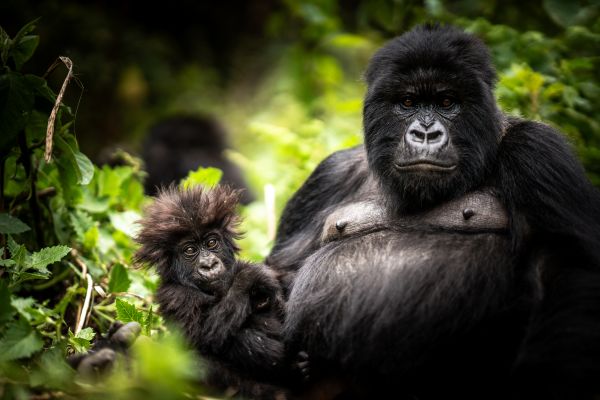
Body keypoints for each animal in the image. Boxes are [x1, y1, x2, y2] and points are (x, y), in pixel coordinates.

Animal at [134, 186, 298, 398]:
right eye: (189, 250)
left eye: (211, 243)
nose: (209, 264)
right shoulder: (175, 295)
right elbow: (209, 334)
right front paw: (251, 274)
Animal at [268, 24, 600, 396]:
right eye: (408, 103)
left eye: (446, 103)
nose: (425, 133)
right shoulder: (329, 174)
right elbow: (279, 272)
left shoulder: (539, 152)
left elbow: (564, 267)